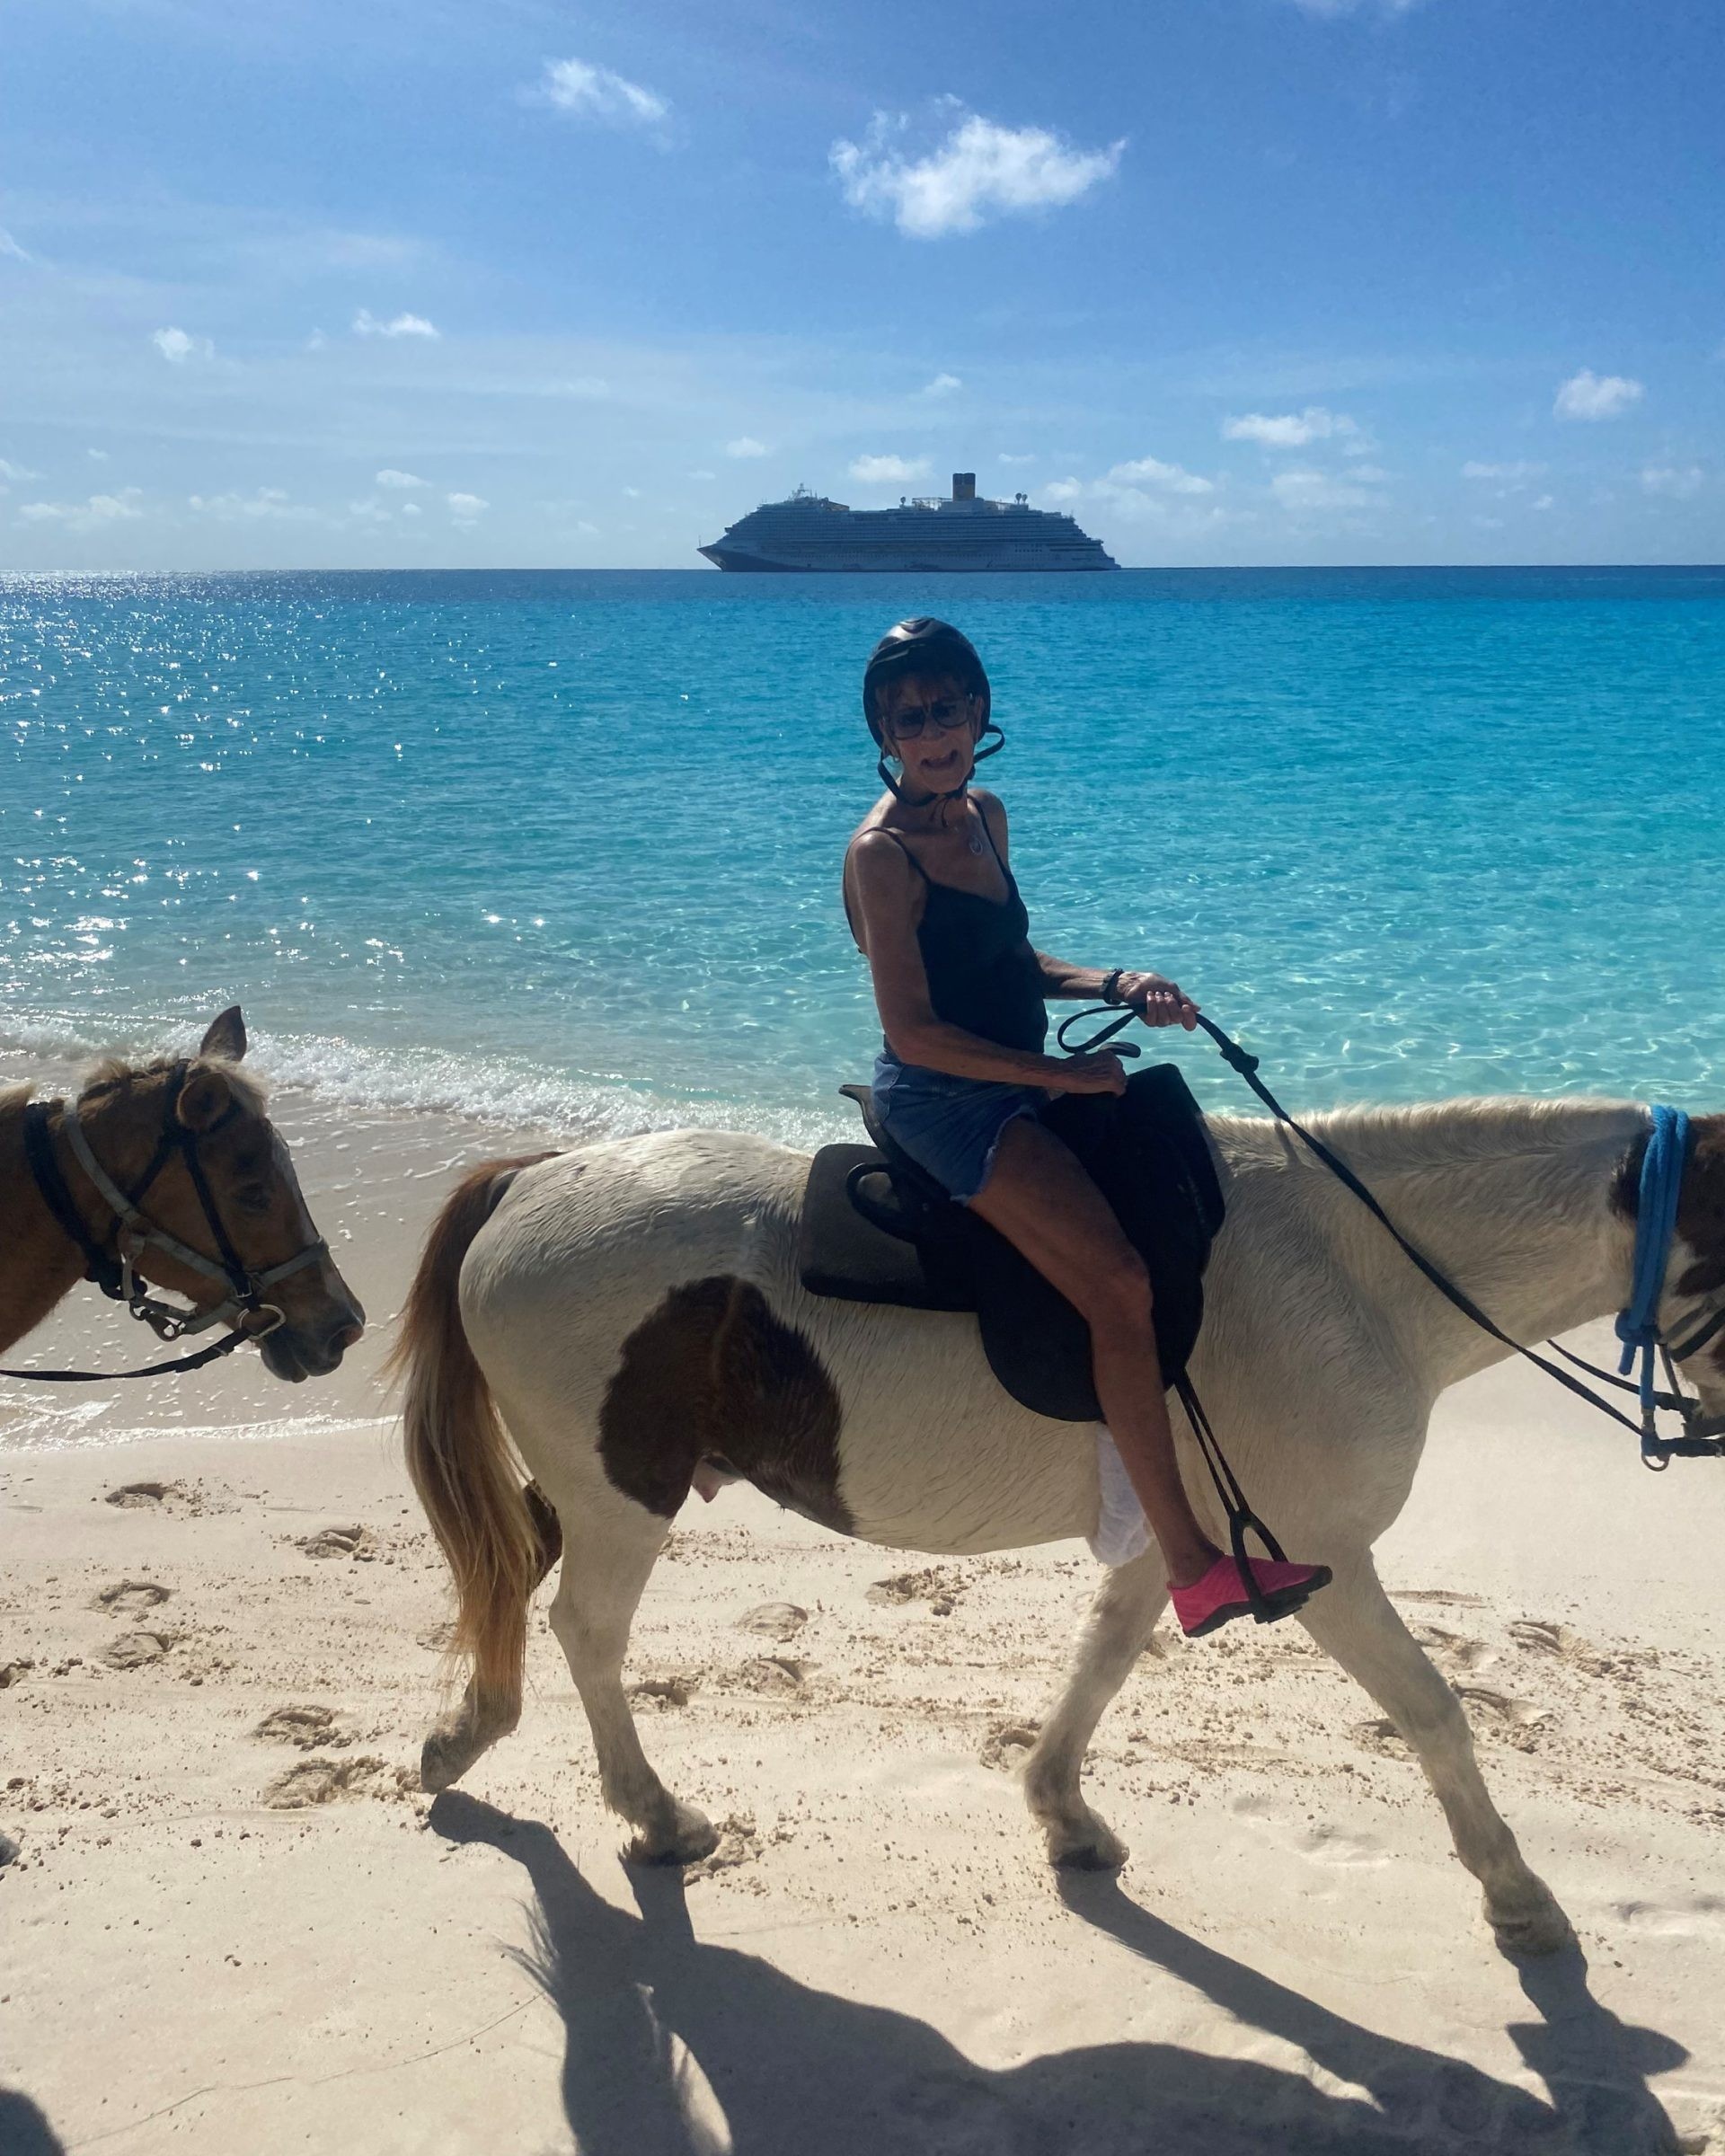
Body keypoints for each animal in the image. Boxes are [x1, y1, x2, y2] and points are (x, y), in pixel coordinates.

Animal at [394, 1095, 1725, 1957]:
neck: (1355, 1278)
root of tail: (531, 1177)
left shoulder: (1179, 1547)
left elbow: (1101, 1663)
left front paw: (1063, 1814)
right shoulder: (1328, 1561)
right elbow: (1434, 1713)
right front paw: (1518, 1896)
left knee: (519, 1586)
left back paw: (466, 1736)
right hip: (622, 1496)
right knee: (588, 1634)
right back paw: (654, 1815)